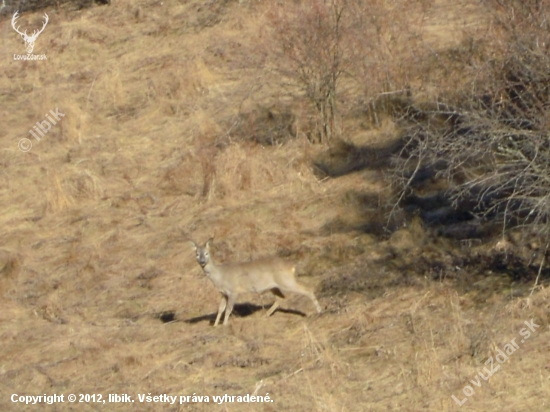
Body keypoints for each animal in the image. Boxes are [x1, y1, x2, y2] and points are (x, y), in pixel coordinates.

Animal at [191, 240, 324, 326]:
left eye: (207, 253)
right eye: (197, 254)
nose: (202, 262)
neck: (220, 275)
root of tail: (292, 266)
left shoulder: (234, 291)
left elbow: (228, 309)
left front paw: (224, 325)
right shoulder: (223, 293)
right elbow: (220, 309)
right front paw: (215, 325)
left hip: (286, 281)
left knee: (308, 290)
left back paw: (319, 311)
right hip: (274, 286)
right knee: (281, 298)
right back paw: (265, 315)